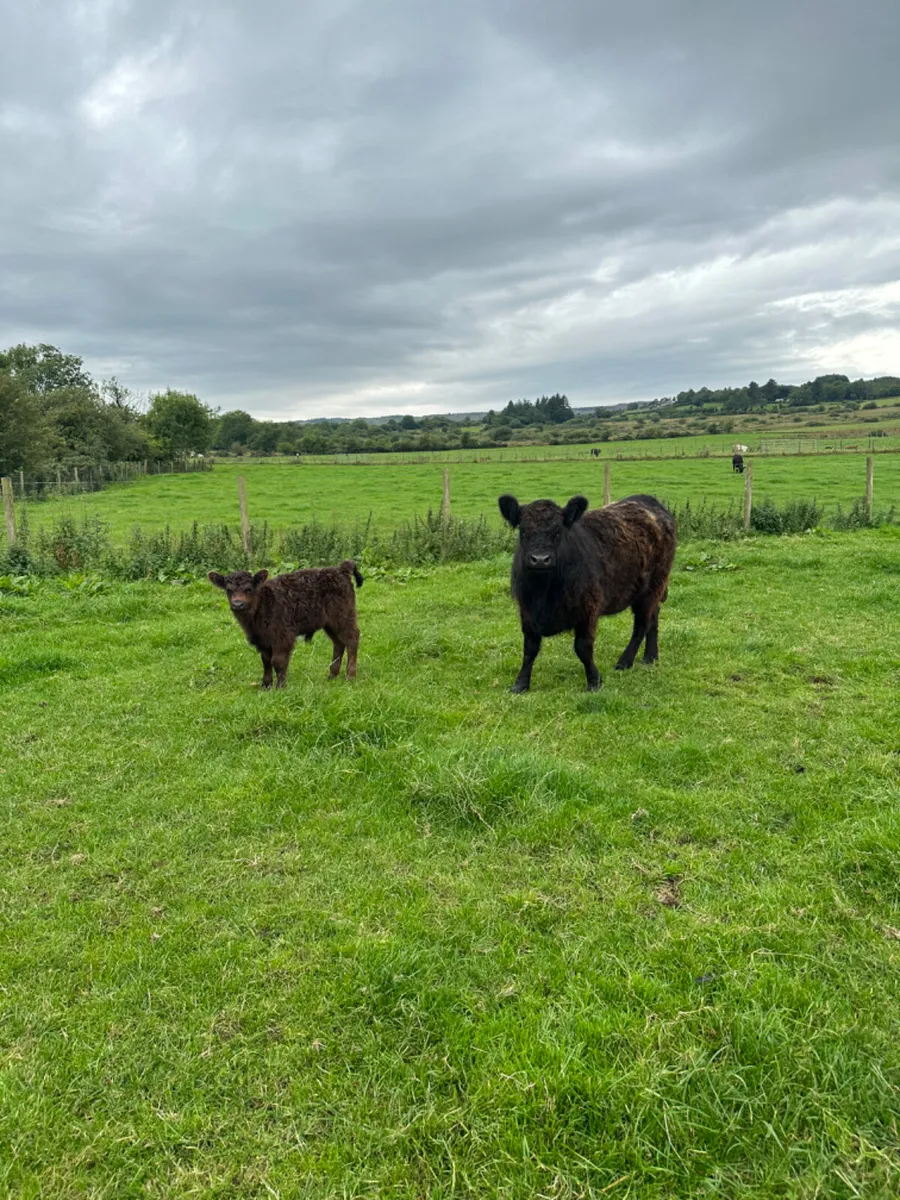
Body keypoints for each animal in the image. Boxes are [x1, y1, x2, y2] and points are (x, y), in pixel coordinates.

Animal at [208, 560, 362, 688]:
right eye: (228, 590)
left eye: (249, 589)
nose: (238, 604)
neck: (263, 603)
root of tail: (341, 569)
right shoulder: (262, 640)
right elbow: (266, 662)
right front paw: (265, 685)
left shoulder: (282, 636)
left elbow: (278, 661)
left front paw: (281, 687)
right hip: (330, 623)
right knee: (339, 643)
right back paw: (332, 675)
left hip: (343, 616)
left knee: (352, 639)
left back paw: (350, 676)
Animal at [498, 493, 676, 693]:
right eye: (523, 531)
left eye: (558, 531)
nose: (540, 559)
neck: (543, 592)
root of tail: (648, 500)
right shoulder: (527, 612)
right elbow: (530, 648)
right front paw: (520, 683)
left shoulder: (588, 609)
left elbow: (583, 648)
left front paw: (594, 681)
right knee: (654, 617)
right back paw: (650, 657)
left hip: (652, 587)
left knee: (641, 626)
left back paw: (624, 662)